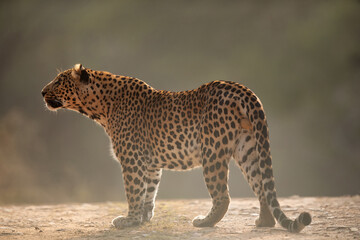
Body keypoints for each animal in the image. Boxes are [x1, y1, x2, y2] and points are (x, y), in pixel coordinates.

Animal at [41, 63, 312, 232]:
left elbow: (133, 192)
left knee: (223, 196)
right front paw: (143, 219)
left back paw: (204, 222)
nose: (42, 91)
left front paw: (128, 220)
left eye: (58, 80)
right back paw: (263, 222)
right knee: (262, 186)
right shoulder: (149, 164)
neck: (101, 107)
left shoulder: (131, 161)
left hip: (212, 151)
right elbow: (149, 193)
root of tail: (243, 90)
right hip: (248, 147)